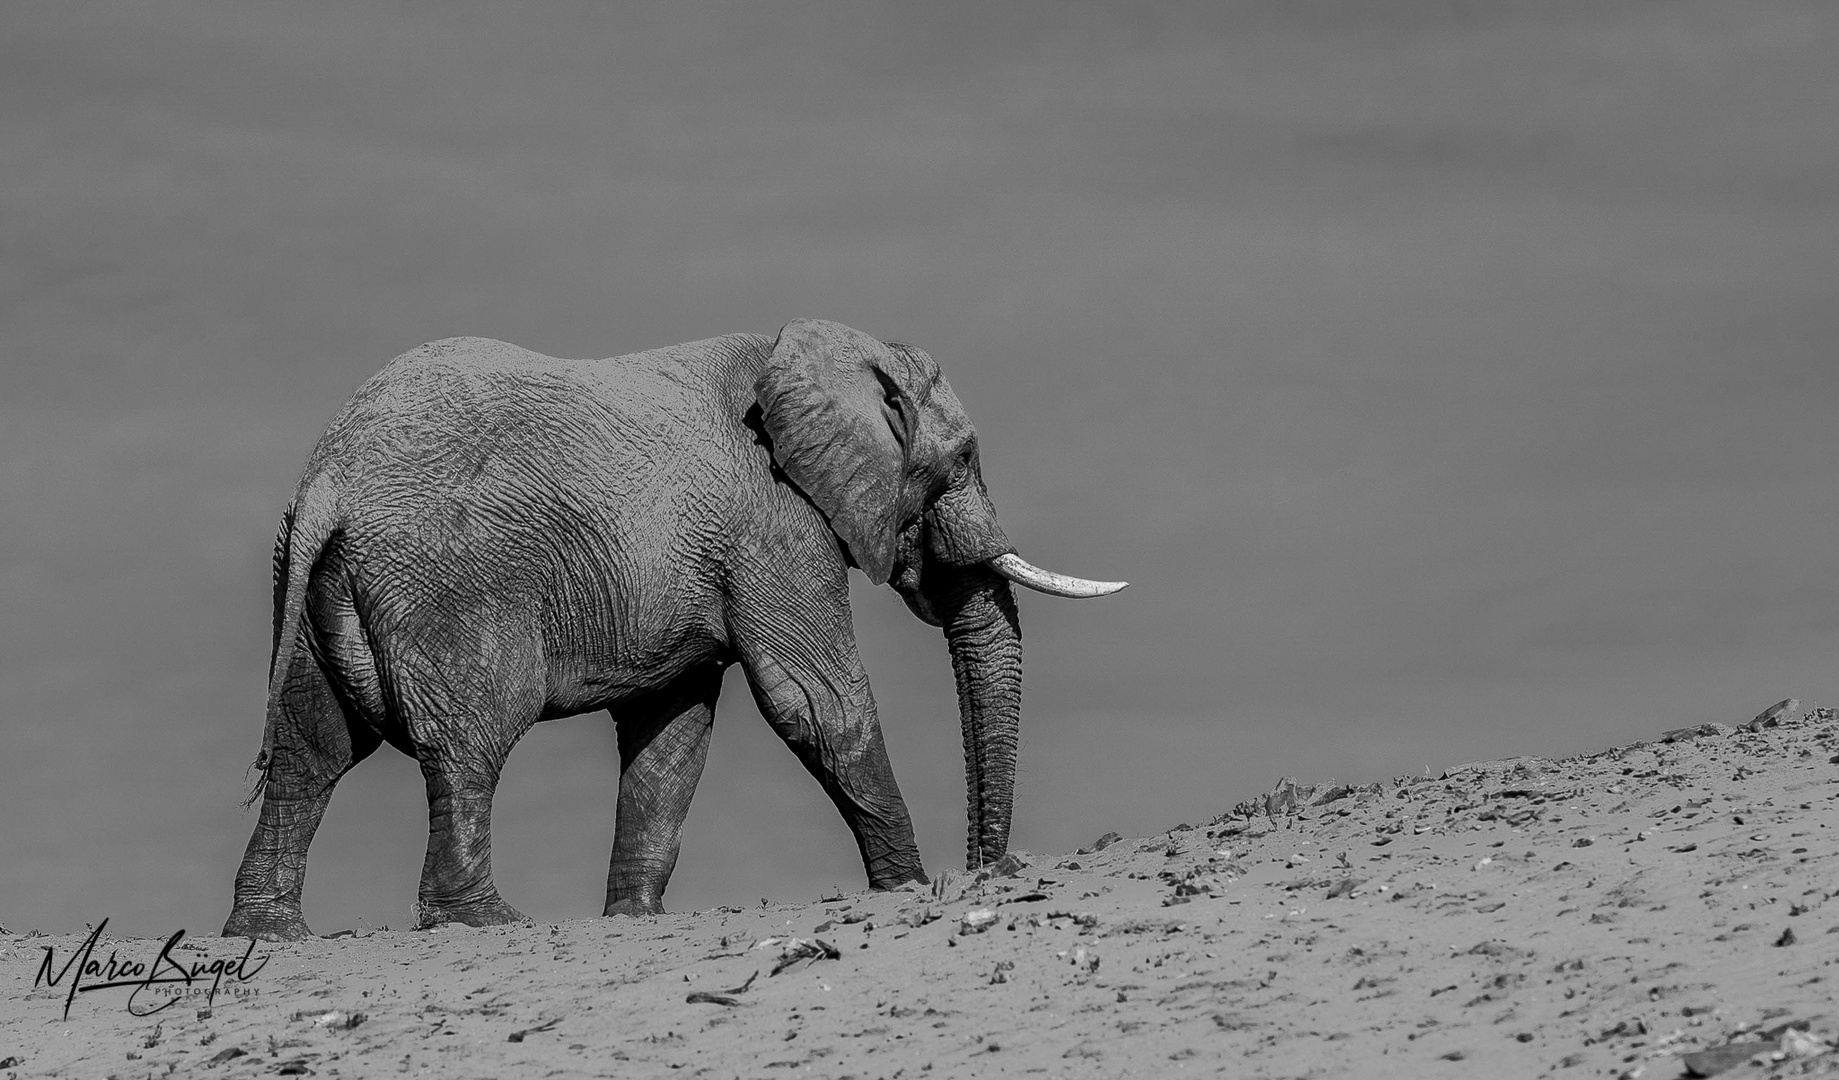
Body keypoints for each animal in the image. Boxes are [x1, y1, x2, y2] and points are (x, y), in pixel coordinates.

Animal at [222, 316, 1125, 942]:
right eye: (963, 459)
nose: (987, 869)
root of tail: (331, 480)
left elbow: (672, 731)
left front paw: (633, 919)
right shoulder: (772, 521)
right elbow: (816, 704)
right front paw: (903, 887)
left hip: (305, 585)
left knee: (310, 752)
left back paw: (272, 933)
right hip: (448, 586)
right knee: (468, 745)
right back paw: (482, 921)